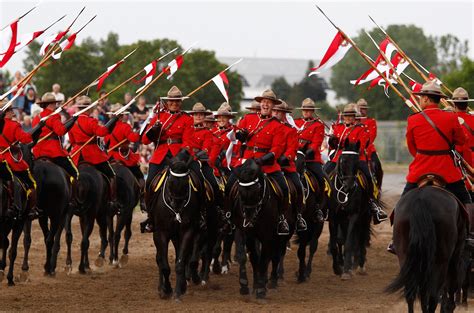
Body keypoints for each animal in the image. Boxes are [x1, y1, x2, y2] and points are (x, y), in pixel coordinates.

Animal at [152, 152, 200, 302]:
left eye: (186, 183)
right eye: (170, 181)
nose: (177, 205)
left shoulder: (187, 232)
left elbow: (180, 262)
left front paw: (178, 291)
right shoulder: (160, 233)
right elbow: (164, 265)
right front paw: (166, 289)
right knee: (159, 259)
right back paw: (161, 288)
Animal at [233, 160, 282, 298]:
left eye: (257, 190)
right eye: (240, 191)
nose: (249, 219)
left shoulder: (268, 235)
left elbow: (264, 259)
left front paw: (260, 289)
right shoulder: (248, 234)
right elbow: (254, 257)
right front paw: (252, 285)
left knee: (276, 255)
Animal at [328, 140, 372, 280]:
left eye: (357, 162)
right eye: (343, 160)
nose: (350, 185)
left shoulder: (354, 215)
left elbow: (349, 243)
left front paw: (346, 271)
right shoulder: (333, 217)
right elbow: (335, 243)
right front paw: (337, 268)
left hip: (365, 217)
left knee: (361, 238)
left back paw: (360, 265)